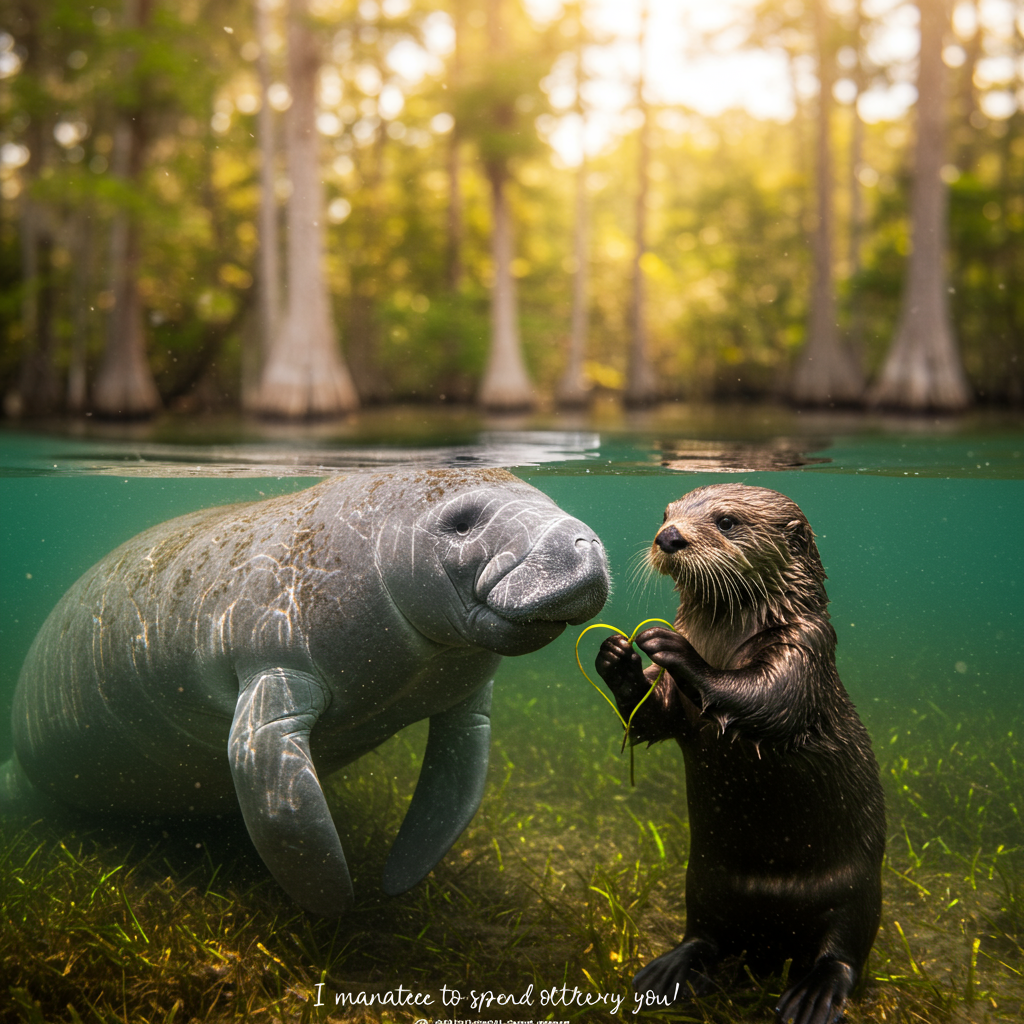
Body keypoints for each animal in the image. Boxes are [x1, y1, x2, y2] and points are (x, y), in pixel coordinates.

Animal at [596, 483, 884, 1024]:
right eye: (665, 513)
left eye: (727, 521)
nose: (669, 537)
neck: (724, 642)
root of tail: (772, 941)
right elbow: (652, 720)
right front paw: (616, 656)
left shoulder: (805, 647)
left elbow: (767, 700)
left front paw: (673, 645)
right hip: (703, 884)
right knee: (706, 937)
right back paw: (666, 975)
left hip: (859, 895)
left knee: (842, 954)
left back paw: (811, 998)